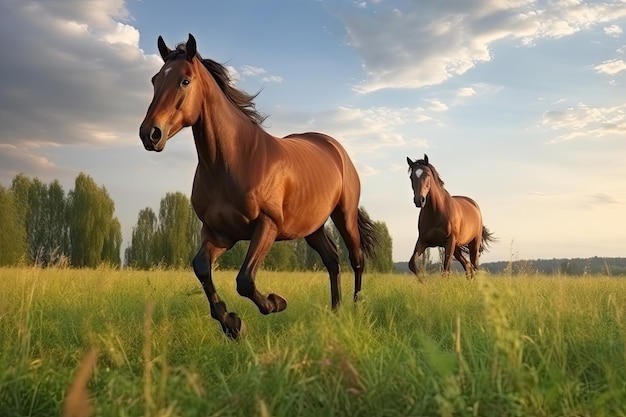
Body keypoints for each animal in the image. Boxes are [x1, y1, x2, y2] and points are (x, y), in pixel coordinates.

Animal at [138, 33, 376, 338]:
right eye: (155, 80)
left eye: (185, 81)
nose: (150, 134)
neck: (235, 161)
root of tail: (335, 147)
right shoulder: (219, 233)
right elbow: (202, 267)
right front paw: (231, 323)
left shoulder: (267, 226)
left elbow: (245, 280)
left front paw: (276, 303)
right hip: (312, 227)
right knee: (332, 260)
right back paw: (335, 312)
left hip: (344, 215)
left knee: (356, 258)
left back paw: (357, 310)